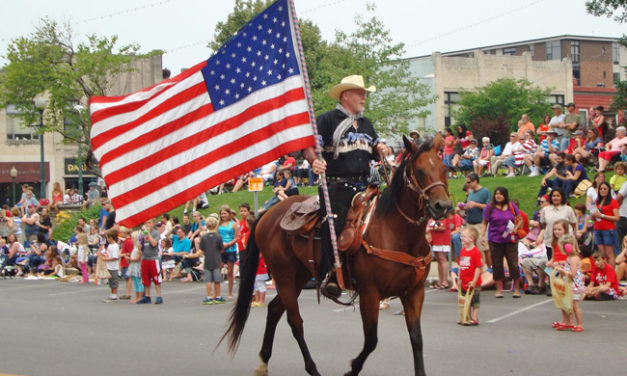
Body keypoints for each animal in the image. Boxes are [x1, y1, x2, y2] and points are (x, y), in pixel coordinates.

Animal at [223, 135, 454, 376]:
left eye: (444, 169)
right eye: (420, 171)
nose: (443, 206)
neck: (396, 232)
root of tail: (267, 214)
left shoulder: (414, 293)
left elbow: (416, 339)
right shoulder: (370, 293)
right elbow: (371, 340)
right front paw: (352, 369)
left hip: (300, 275)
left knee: (274, 310)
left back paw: (263, 362)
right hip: (284, 275)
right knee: (295, 322)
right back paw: (311, 368)